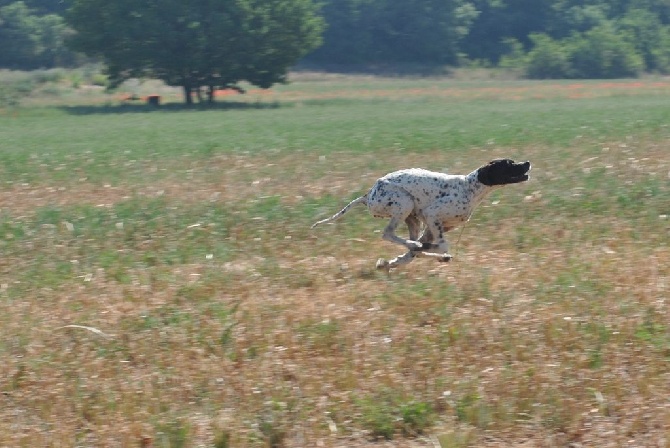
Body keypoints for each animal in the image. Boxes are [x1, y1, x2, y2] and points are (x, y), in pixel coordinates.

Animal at [312, 158, 532, 270]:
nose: (528, 163)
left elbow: (415, 253)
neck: (470, 187)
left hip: (412, 218)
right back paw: (417, 246)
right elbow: (440, 245)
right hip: (405, 204)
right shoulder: (432, 215)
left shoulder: (432, 225)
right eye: (508, 164)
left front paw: (392, 262)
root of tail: (369, 194)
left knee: (409, 243)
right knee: (388, 234)